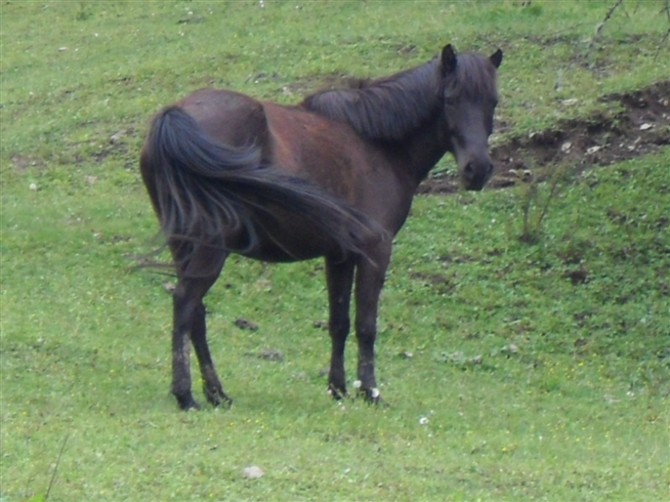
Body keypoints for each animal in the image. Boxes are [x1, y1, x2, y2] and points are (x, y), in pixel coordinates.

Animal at [140, 45, 504, 410]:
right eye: (450, 99)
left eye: (493, 101)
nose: (477, 170)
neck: (375, 144)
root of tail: (175, 116)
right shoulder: (375, 250)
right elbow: (366, 325)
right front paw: (370, 391)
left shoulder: (339, 254)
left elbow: (338, 322)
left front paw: (338, 388)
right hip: (208, 249)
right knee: (185, 304)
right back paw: (186, 395)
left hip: (185, 247)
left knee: (196, 315)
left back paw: (216, 393)